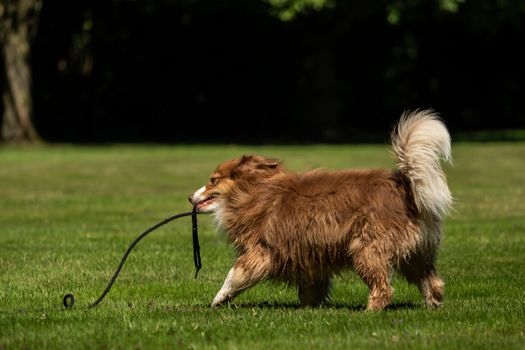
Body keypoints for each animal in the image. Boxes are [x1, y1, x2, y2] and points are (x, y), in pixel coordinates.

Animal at [190, 110, 452, 310]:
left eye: (213, 180)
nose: (189, 197)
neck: (253, 192)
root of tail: (405, 185)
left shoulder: (259, 252)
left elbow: (234, 276)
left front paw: (217, 301)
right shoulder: (309, 253)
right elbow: (310, 288)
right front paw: (310, 308)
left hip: (367, 248)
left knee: (384, 288)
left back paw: (369, 311)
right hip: (417, 254)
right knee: (432, 282)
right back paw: (433, 307)